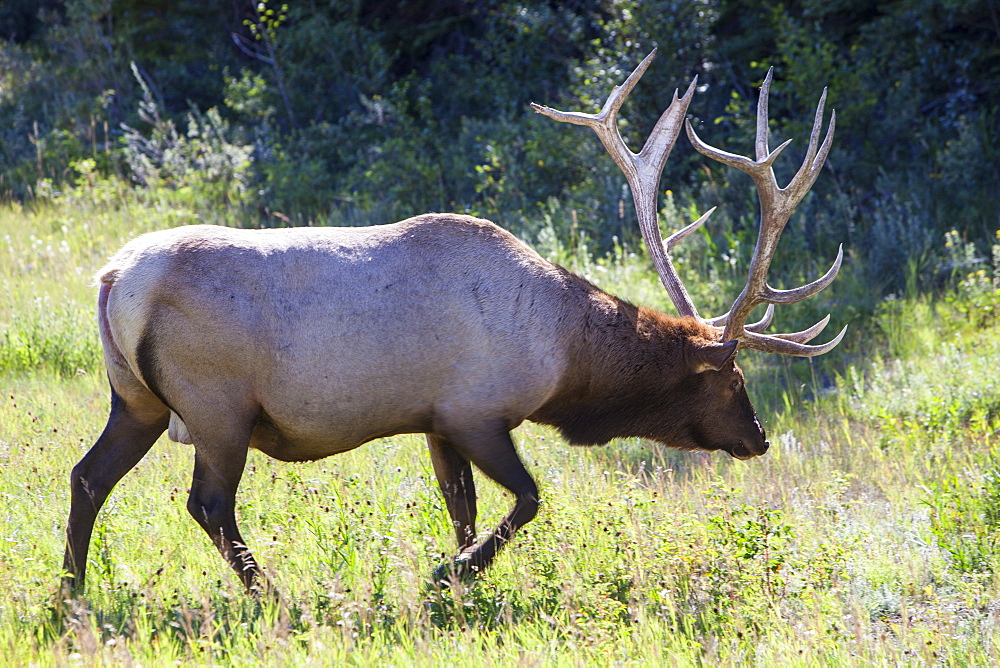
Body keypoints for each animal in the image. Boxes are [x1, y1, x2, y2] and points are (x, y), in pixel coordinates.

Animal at [60, 52, 844, 596]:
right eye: (728, 378)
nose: (758, 437)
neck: (565, 354)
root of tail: (113, 281)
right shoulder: (477, 409)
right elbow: (527, 499)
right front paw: (451, 573)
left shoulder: (435, 420)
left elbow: (461, 507)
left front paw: (460, 576)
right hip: (217, 406)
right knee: (209, 505)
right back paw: (272, 595)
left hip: (135, 399)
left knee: (87, 477)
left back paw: (71, 595)